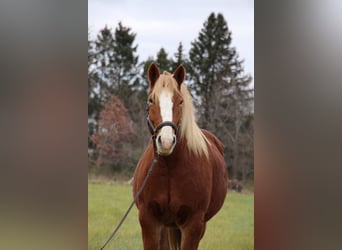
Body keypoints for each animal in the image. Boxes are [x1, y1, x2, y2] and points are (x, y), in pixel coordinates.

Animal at [132, 63, 228, 249]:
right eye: (151, 100)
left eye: (180, 101)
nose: (166, 142)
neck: (169, 166)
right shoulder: (149, 221)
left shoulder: (194, 225)